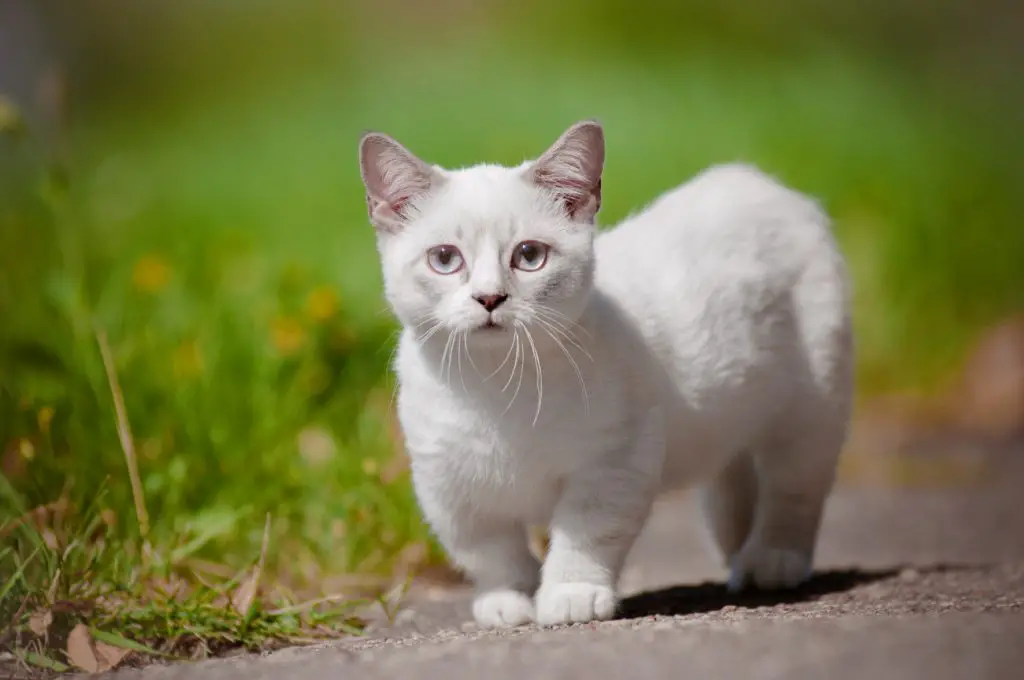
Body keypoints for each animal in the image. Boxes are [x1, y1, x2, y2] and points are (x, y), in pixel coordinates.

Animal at [356, 120, 851, 626]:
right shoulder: (447, 485)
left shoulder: (614, 461)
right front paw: (507, 600)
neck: (496, 388)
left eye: (529, 255)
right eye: (444, 259)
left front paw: (571, 595)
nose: (490, 298)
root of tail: (755, 179)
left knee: (793, 489)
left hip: (810, 407)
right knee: (732, 487)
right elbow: (489, 551)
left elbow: (585, 535)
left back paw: (771, 560)